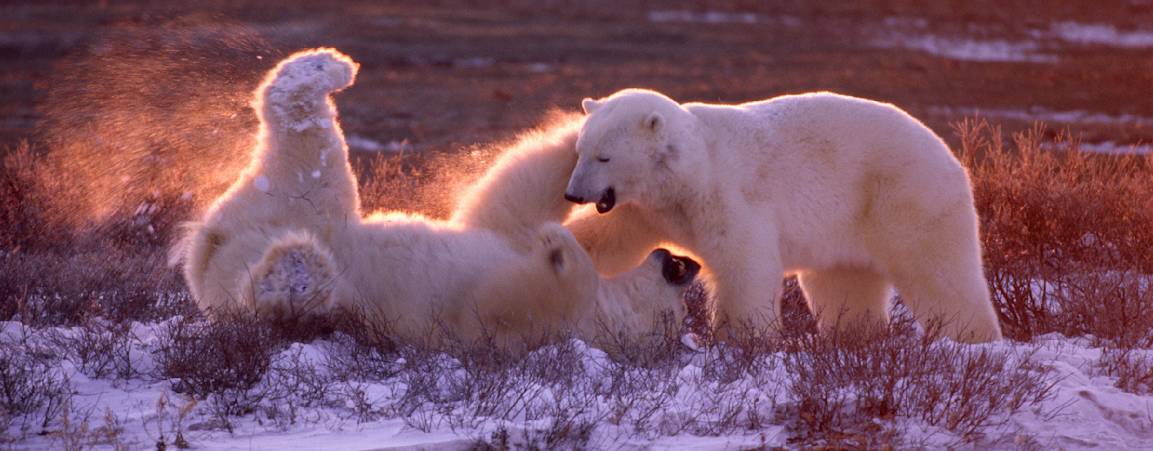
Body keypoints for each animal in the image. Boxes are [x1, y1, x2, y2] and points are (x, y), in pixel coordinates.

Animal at [172, 51, 701, 350]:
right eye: (676, 277)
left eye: (672, 318)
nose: (681, 261)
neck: (606, 308)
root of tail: (211, 250)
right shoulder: (505, 235)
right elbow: (511, 200)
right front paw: (592, 122)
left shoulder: (527, 324)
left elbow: (498, 302)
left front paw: (560, 245)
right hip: (290, 205)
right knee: (301, 158)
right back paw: (325, 68)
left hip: (299, 236)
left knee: (286, 285)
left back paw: (295, 270)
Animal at [562, 89, 1005, 343]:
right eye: (580, 150)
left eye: (604, 156)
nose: (574, 192)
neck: (691, 169)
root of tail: (951, 156)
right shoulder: (645, 208)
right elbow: (605, 240)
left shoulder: (728, 195)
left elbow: (746, 267)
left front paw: (745, 341)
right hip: (845, 228)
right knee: (843, 286)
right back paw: (854, 340)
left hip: (906, 195)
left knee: (939, 272)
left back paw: (972, 339)